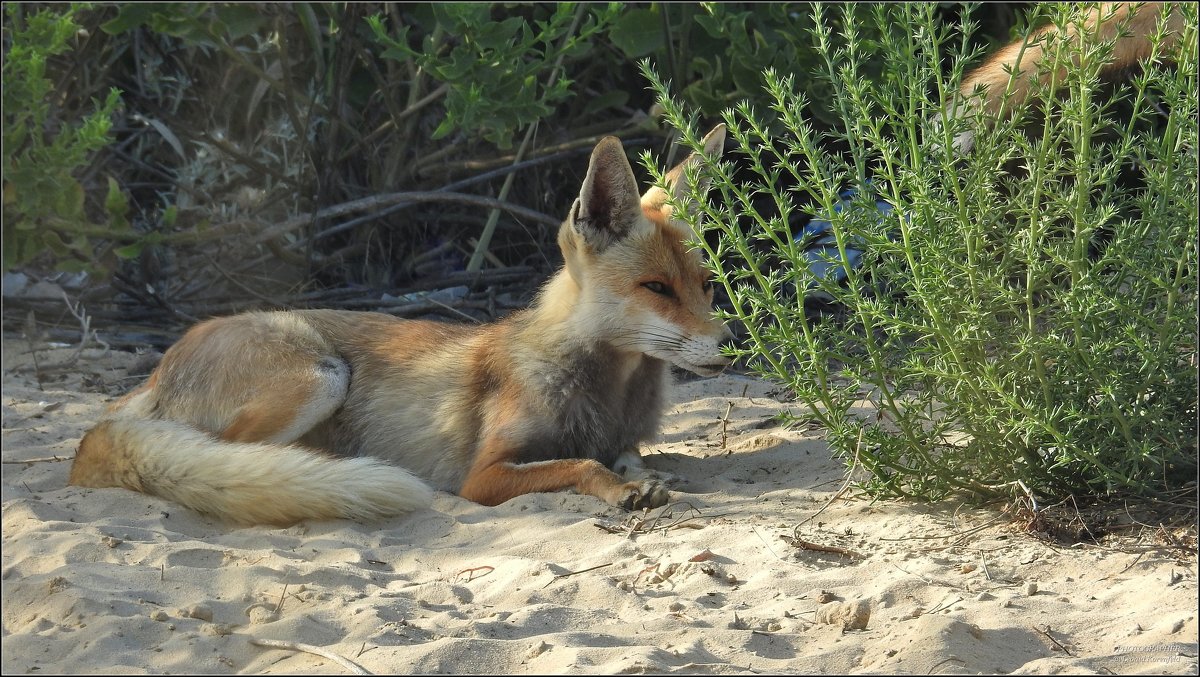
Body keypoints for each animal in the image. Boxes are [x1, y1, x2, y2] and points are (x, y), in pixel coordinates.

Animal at [68, 127, 729, 528]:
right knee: (228, 458)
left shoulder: (622, 439)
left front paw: (645, 478)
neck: (602, 391)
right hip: (320, 377)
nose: (728, 351)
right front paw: (619, 489)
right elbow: (581, 467)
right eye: (656, 289)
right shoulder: (484, 475)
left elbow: (626, 460)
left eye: (706, 285)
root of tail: (158, 368)